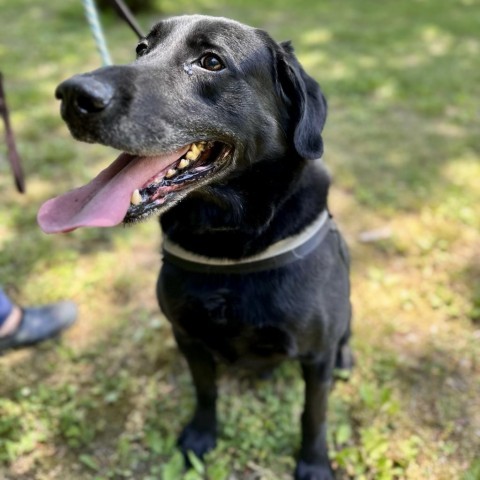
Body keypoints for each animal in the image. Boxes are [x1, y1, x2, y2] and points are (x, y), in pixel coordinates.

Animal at [37, 15, 352, 480]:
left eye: (211, 61)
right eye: (141, 48)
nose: (73, 95)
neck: (229, 244)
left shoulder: (315, 356)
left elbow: (314, 414)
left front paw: (313, 464)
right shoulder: (188, 337)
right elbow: (205, 391)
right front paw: (201, 437)